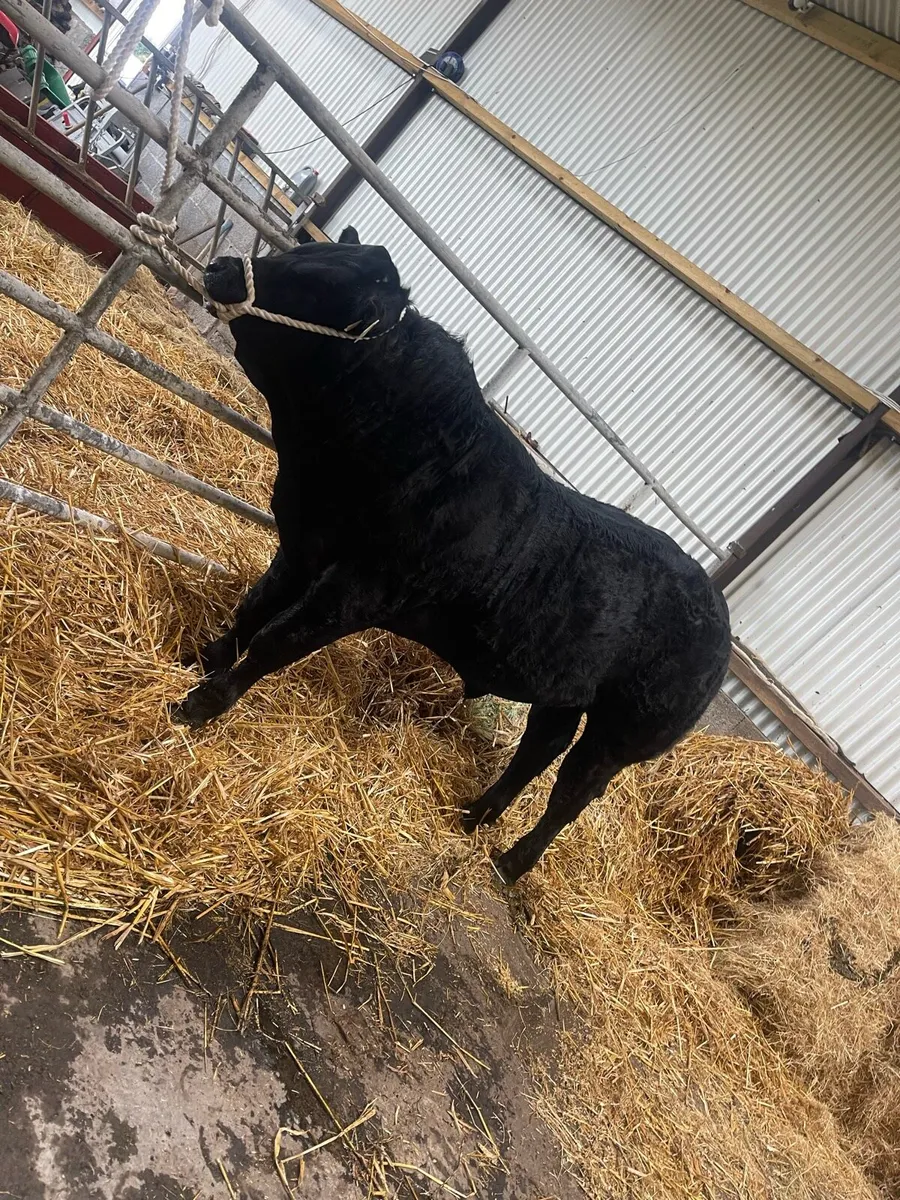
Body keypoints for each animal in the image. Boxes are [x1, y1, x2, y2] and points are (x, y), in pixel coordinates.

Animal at [173, 228, 731, 884]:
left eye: (316, 283)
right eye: (299, 256)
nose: (221, 266)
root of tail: (716, 611)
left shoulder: (360, 587)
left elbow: (277, 639)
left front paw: (203, 703)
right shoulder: (304, 541)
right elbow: (256, 607)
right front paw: (201, 658)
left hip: (624, 729)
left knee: (573, 790)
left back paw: (510, 864)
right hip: (562, 689)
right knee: (539, 748)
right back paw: (475, 814)